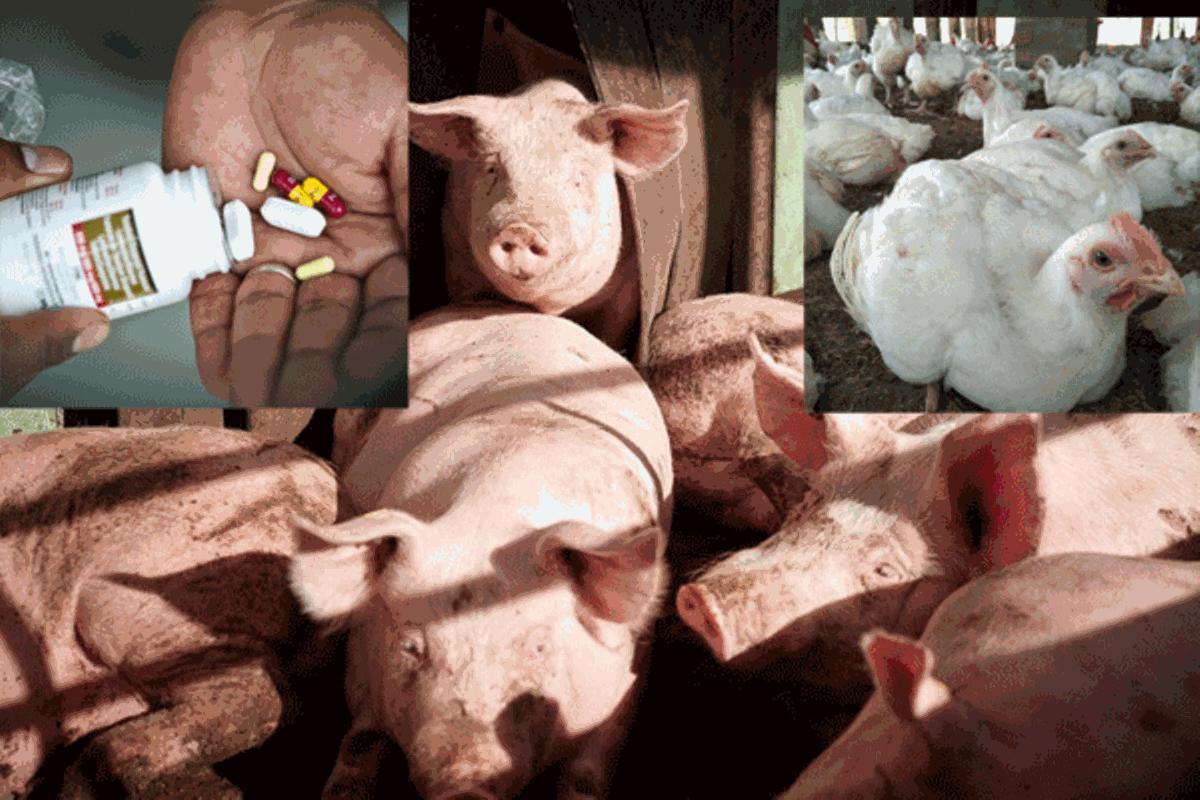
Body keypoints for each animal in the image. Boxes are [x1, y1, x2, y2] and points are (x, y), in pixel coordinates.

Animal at [289, 302, 673, 800]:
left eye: (538, 646)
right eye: (411, 647)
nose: (465, 781)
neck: (493, 517)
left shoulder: (626, 679)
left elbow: (585, 777)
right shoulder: (363, 660)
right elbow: (359, 742)